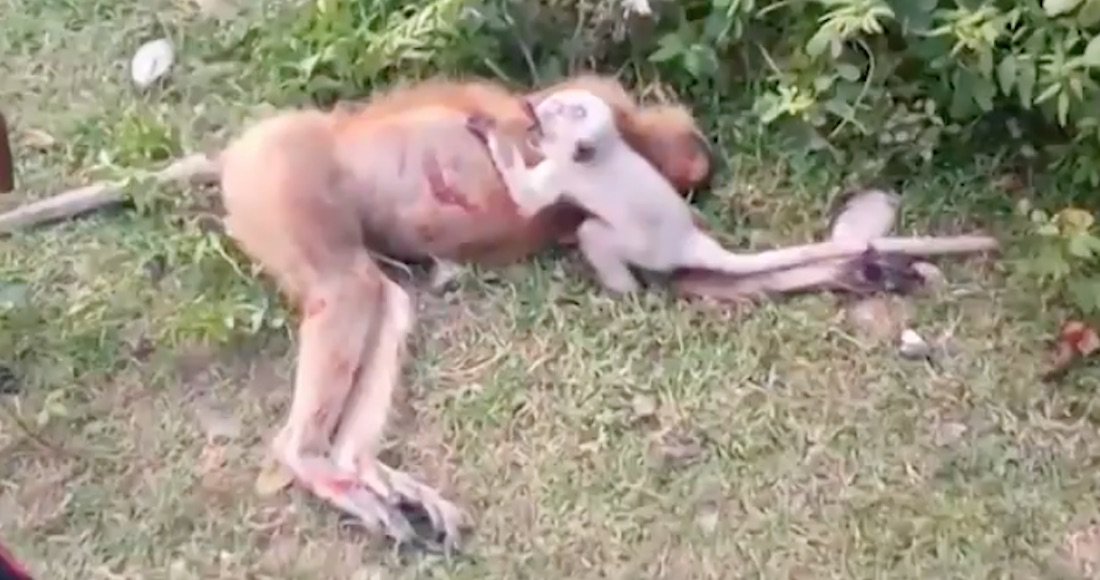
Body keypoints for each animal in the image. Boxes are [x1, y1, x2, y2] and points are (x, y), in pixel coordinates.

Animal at [465, 88, 871, 294]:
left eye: (562, 111)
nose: (530, 105)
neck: (604, 152)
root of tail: (688, 242)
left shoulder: (564, 171)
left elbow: (526, 198)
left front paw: (489, 128)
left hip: (646, 251)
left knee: (593, 233)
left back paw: (624, 292)